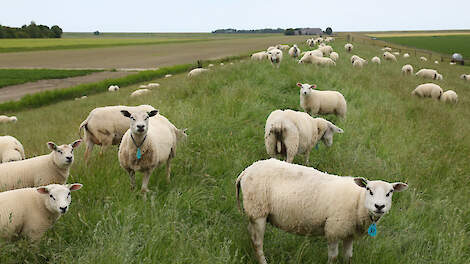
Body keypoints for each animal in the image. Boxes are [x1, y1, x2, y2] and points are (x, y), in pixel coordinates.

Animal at [237, 159, 410, 264]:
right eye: (369, 190)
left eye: (390, 193)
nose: (379, 206)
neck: (358, 201)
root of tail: (245, 171)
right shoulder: (334, 229)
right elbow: (333, 257)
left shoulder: (349, 233)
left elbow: (348, 257)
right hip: (258, 210)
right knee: (258, 243)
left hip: (254, 212)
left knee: (251, 235)